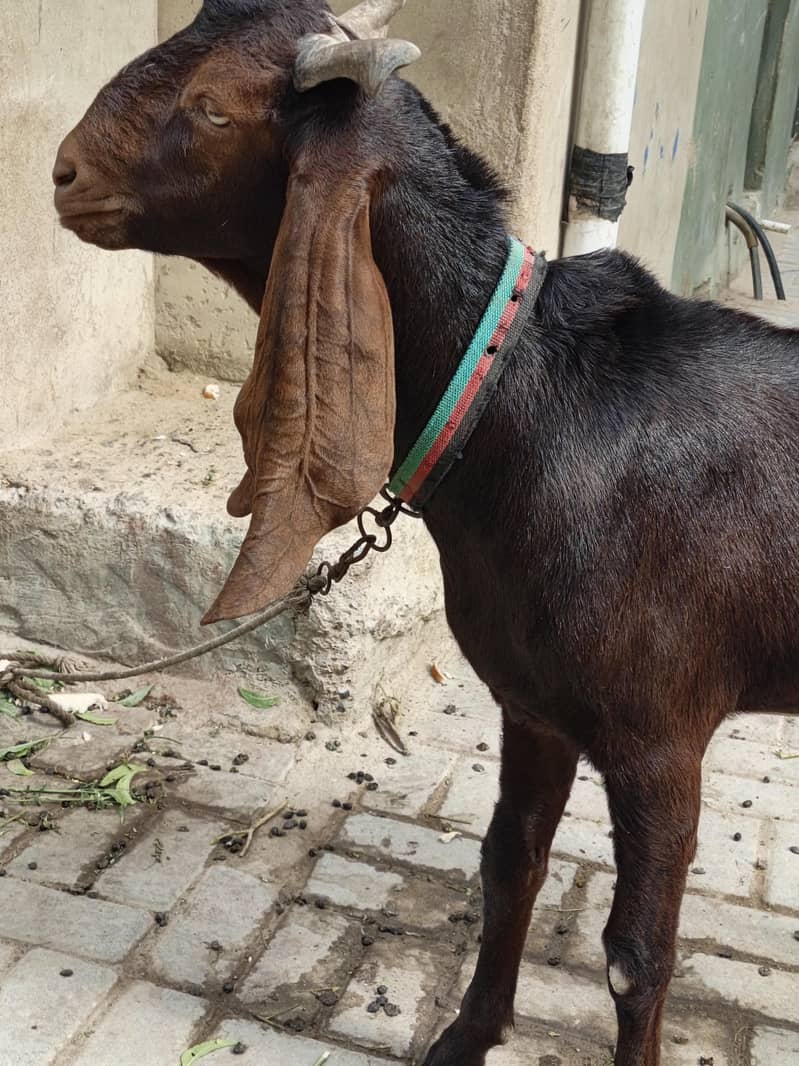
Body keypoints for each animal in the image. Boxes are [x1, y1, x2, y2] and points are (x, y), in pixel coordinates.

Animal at [52, 2, 799, 1063]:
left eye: (212, 106)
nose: (63, 173)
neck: (527, 401)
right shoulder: (532, 705)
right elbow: (507, 865)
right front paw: (465, 1036)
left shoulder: (662, 733)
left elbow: (636, 957)